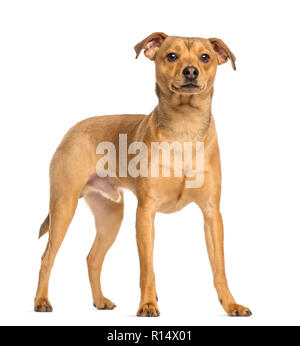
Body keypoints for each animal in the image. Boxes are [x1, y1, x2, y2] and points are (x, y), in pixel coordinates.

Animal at [34, 32, 252, 316]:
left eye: (205, 57)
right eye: (171, 55)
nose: (191, 71)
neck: (184, 128)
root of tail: (72, 130)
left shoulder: (211, 214)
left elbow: (220, 268)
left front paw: (231, 304)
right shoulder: (146, 214)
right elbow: (147, 269)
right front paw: (148, 303)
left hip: (110, 216)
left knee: (93, 258)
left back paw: (100, 300)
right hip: (63, 207)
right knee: (47, 257)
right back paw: (41, 301)